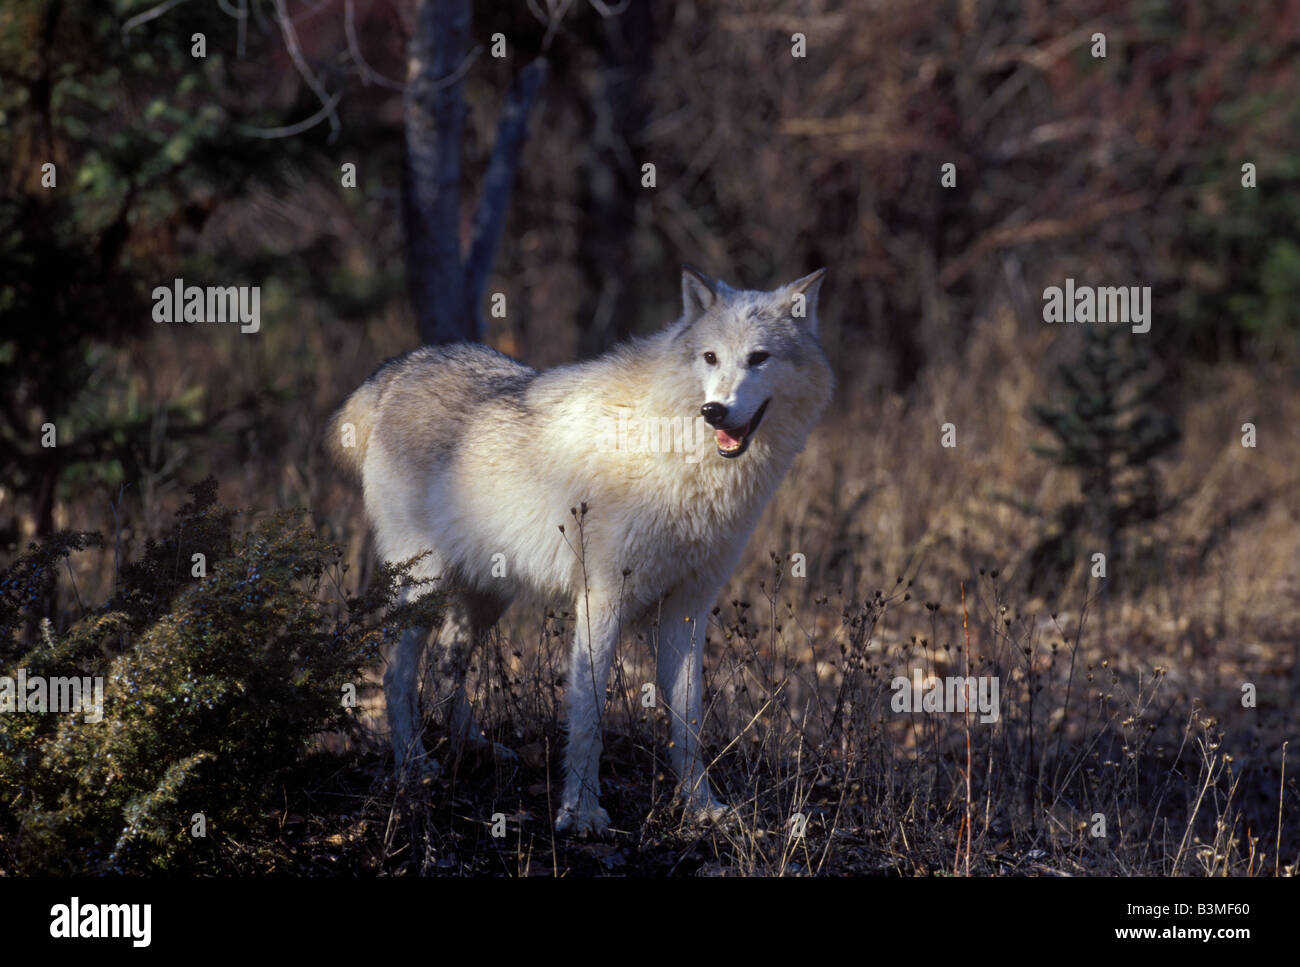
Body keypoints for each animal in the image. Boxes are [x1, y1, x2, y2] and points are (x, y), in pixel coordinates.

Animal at [325, 263, 832, 831]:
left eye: (758, 358)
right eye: (710, 358)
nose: (715, 411)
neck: (686, 458)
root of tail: (400, 367)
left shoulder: (688, 608)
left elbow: (689, 722)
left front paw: (702, 805)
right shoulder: (601, 598)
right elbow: (588, 716)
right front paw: (581, 812)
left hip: (487, 594)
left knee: (447, 663)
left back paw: (474, 749)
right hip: (424, 588)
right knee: (397, 675)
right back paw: (414, 767)